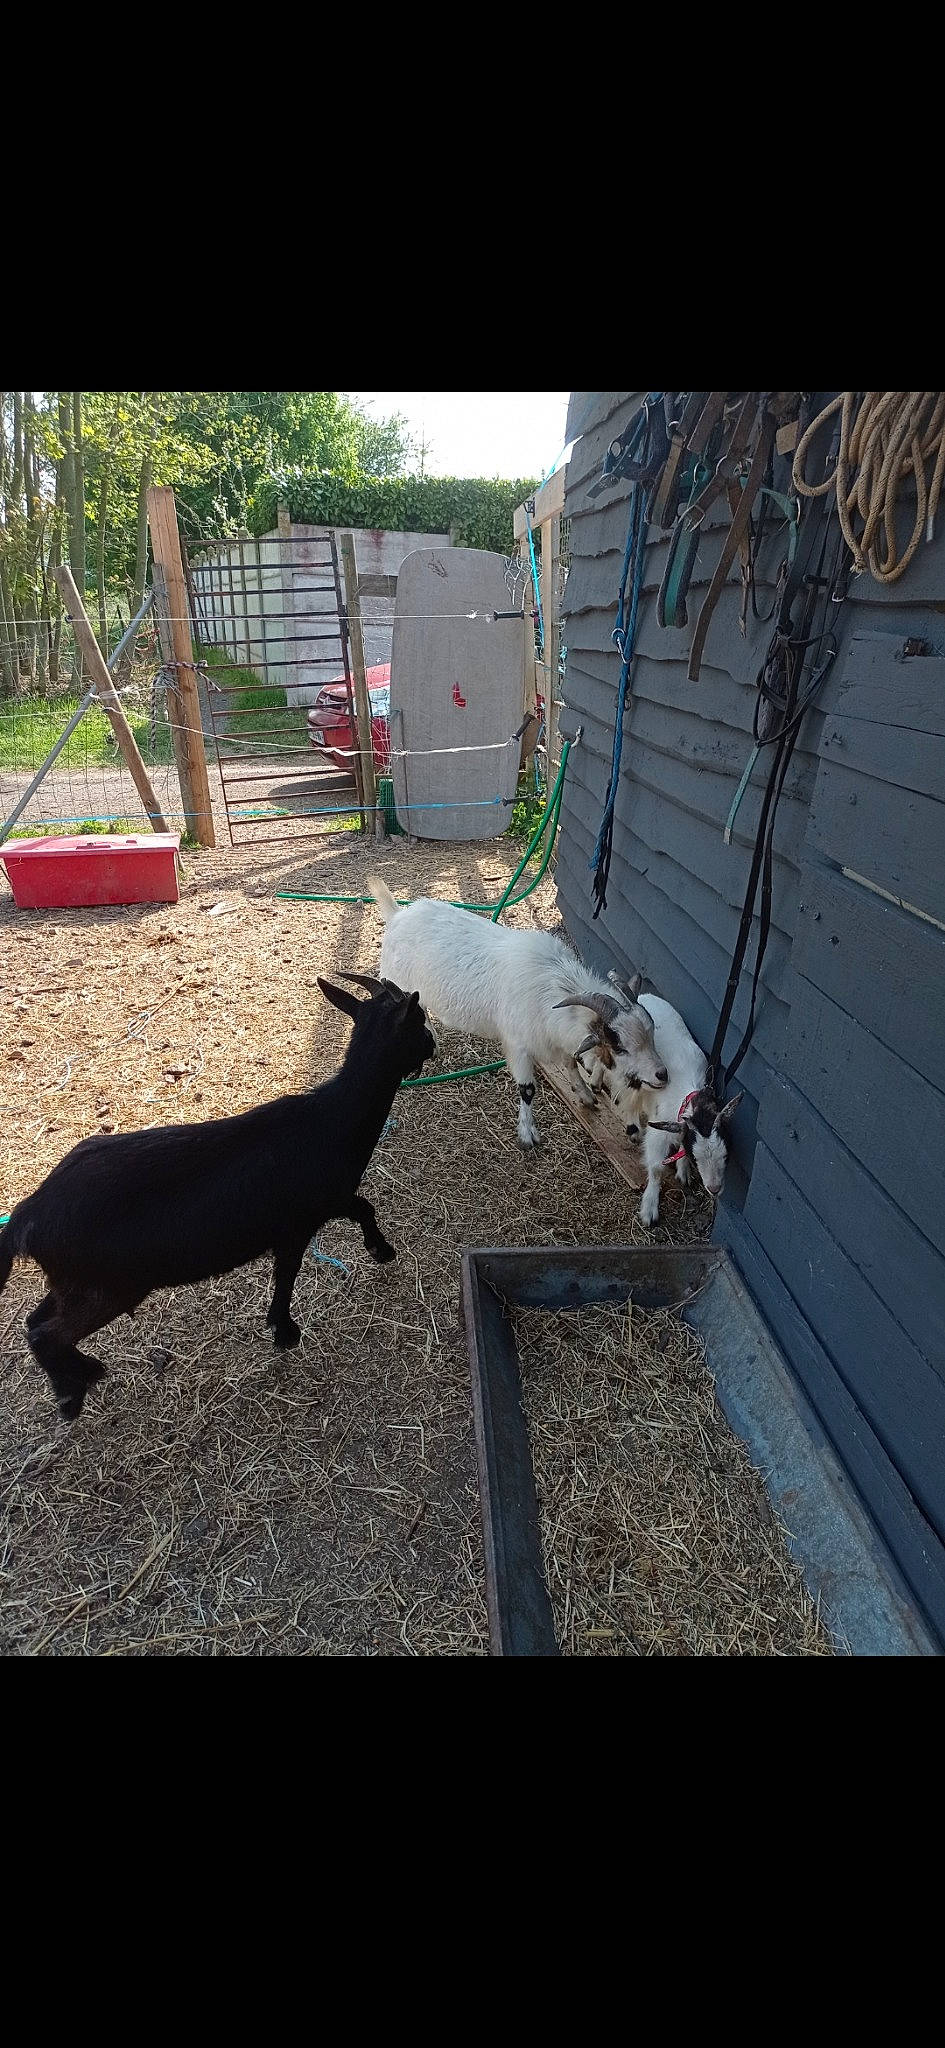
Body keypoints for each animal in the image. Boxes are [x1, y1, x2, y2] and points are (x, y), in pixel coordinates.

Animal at [0, 974, 435, 1421]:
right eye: (419, 1022)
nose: (432, 1045)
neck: (335, 1118)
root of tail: (27, 1214)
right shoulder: (311, 1212)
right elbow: (323, 1243)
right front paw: (291, 1324)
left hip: (73, 1281)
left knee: (35, 1321)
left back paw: (80, 1375)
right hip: (110, 1285)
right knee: (47, 1333)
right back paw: (72, 1394)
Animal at [367, 875, 668, 1147]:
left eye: (652, 1035)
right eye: (618, 1044)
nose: (662, 1075)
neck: (554, 984)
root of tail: (397, 914)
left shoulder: (558, 1041)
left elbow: (571, 1065)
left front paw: (585, 1096)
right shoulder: (518, 1044)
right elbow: (527, 1089)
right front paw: (527, 1134)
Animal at [601, 975, 742, 1226]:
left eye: (726, 1155)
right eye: (697, 1158)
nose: (714, 1189)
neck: (687, 1093)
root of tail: (641, 996)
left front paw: (683, 1171)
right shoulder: (658, 1130)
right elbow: (656, 1168)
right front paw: (649, 1210)